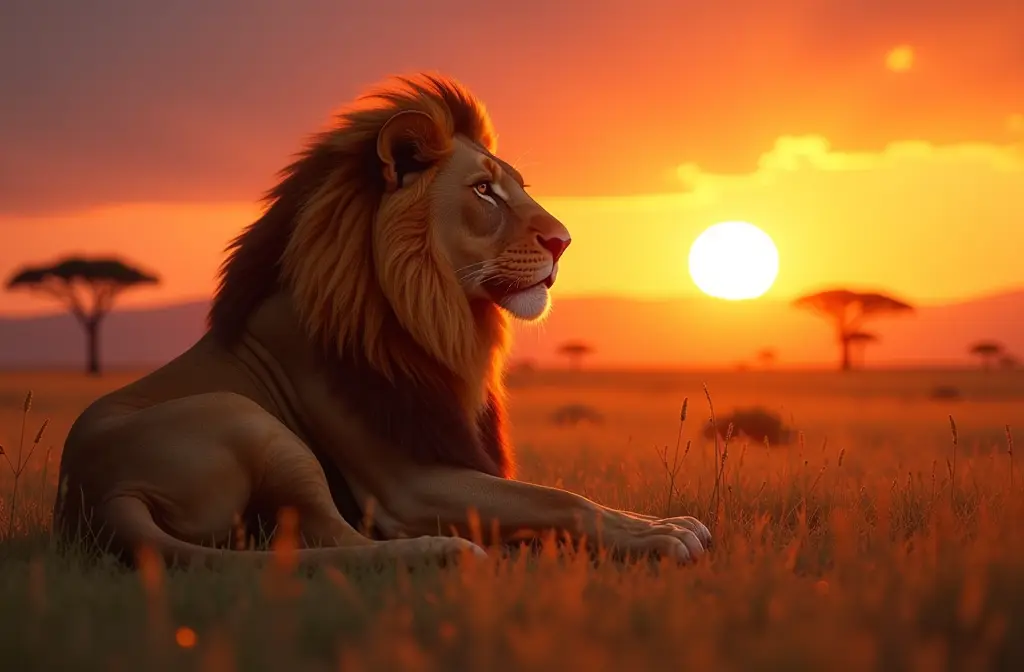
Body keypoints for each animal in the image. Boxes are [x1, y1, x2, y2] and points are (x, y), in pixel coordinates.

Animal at [53, 72, 711, 570]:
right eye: (484, 191)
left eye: (519, 188)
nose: (565, 241)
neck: (441, 318)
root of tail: (99, 493)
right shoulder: (407, 481)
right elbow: (559, 497)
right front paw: (661, 538)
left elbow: (570, 495)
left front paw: (668, 520)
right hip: (252, 422)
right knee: (333, 540)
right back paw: (450, 550)